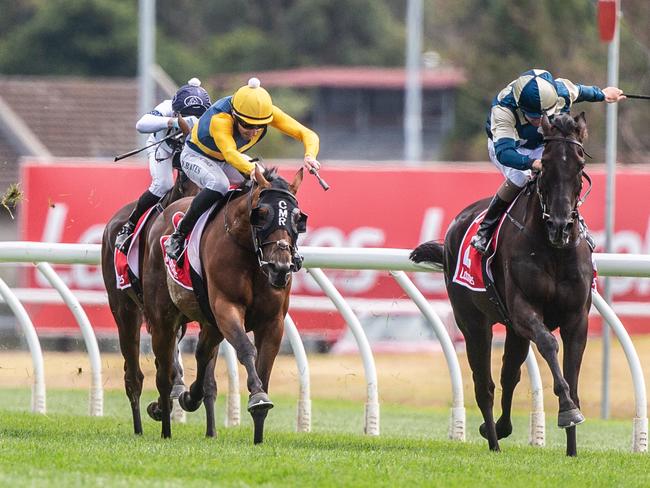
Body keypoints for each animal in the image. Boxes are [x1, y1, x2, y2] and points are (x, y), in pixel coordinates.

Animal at [143, 165, 306, 442]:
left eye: (297, 218)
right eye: (262, 214)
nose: (280, 267)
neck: (250, 254)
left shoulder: (272, 321)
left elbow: (265, 365)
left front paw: (258, 431)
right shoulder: (226, 307)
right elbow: (245, 349)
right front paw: (258, 396)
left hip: (209, 323)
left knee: (201, 354)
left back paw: (190, 396)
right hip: (163, 317)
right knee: (164, 372)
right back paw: (165, 422)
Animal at [410, 112, 592, 456]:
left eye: (579, 164)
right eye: (546, 164)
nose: (561, 227)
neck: (554, 249)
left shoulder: (577, 318)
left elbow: (573, 377)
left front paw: (573, 443)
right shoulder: (523, 309)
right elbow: (549, 344)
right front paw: (566, 410)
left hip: (511, 330)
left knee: (510, 373)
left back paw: (501, 428)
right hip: (472, 322)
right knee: (485, 384)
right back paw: (493, 439)